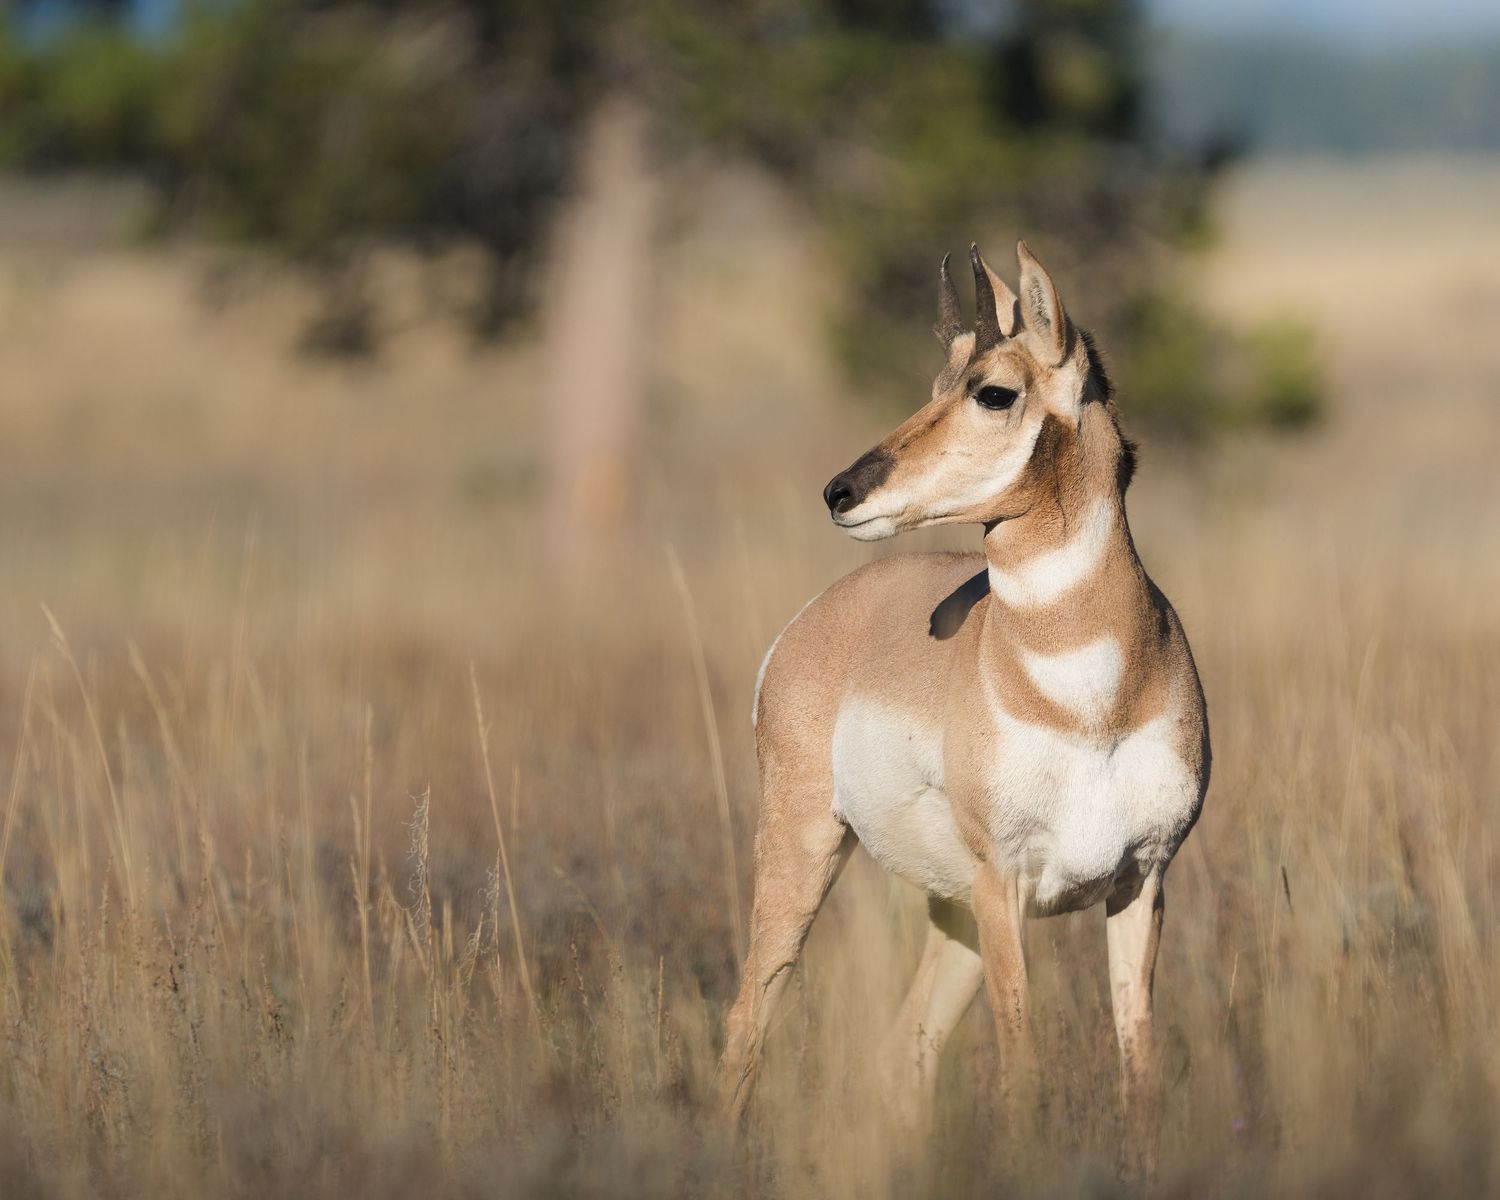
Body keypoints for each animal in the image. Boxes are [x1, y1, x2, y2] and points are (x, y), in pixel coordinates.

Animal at [719, 242, 1210, 1131]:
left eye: (992, 391)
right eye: (934, 382)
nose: (841, 491)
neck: (1090, 707)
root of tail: (815, 618)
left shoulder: (1143, 882)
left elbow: (1141, 1067)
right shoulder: (1002, 883)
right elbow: (1023, 1072)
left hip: (952, 920)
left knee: (902, 1050)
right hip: (807, 852)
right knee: (747, 1017)